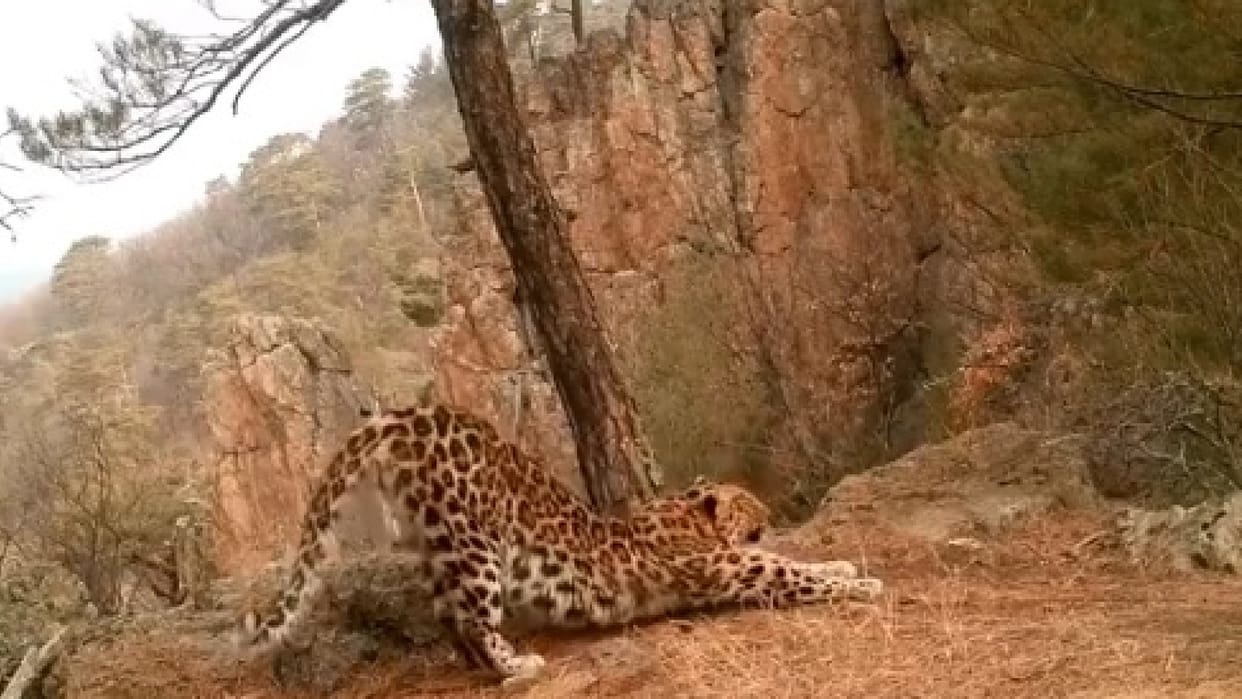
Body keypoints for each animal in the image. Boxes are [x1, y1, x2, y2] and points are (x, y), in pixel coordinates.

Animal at [234, 404, 882, 686]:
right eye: (748, 504)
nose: (769, 512)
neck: (684, 518)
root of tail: (402, 416)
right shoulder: (726, 569)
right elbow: (787, 570)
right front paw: (862, 581)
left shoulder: (733, 559)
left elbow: (790, 559)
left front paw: (845, 563)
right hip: (475, 545)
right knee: (473, 617)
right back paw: (518, 665)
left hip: (435, 541)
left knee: (447, 616)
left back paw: (486, 671)